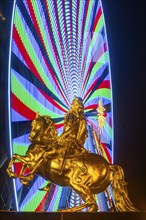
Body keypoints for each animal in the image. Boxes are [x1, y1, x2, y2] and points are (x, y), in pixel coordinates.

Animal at [6, 114, 137, 212]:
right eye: (32, 123)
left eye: (37, 124)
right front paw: (23, 178)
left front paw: (16, 174)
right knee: (92, 205)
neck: (43, 144)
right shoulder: (30, 160)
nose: (31, 137)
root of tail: (109, 165)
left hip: (77, 183)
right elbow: (19, 161)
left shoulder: (33, 161)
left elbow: (16, 157)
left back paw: (66, 210)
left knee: (91, 202)